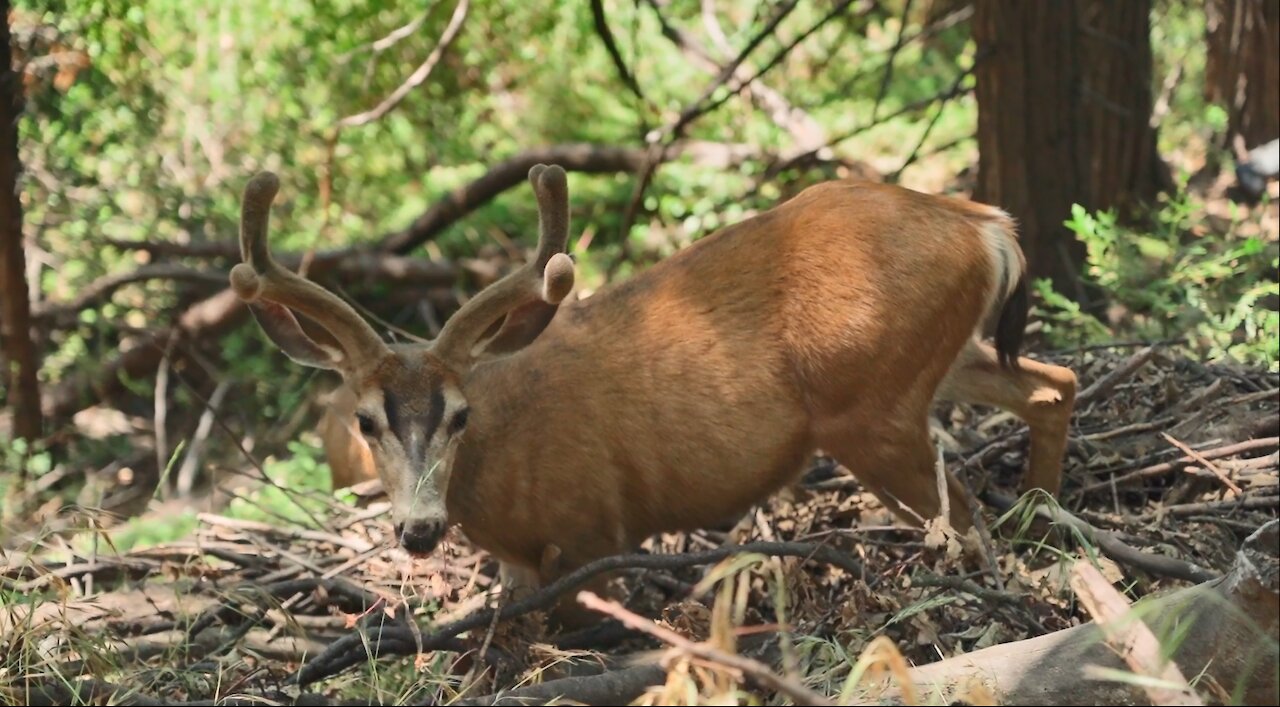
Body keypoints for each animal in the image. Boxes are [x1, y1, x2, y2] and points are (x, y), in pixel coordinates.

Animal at [227, 162, 1070, 622]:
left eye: (460, 415)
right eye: (366, 420)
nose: (421, 529)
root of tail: (983, 223)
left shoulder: (594, 528)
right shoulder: (524, 563)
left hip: (871, 406)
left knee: (966, 518)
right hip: (939, 360)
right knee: (1053, 385)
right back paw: (1044, 519)